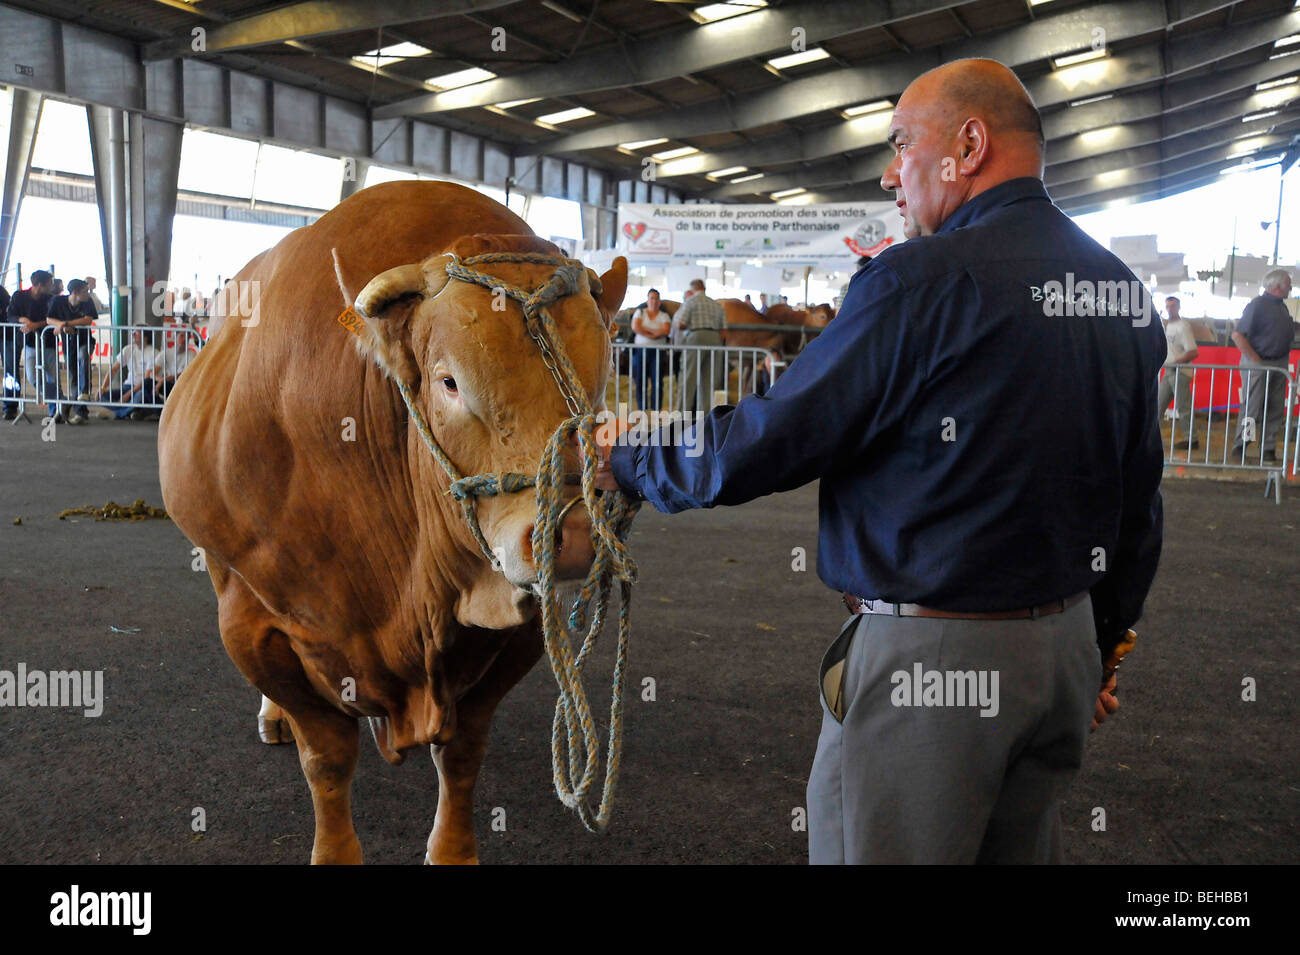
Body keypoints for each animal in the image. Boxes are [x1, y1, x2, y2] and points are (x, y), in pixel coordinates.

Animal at [158, 180, 628, 864]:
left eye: (601, 383)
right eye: (450, 382)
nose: (566, 540)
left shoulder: (519, 629)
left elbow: (462, 752)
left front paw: (452, 850)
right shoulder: (254, 624)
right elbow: (328, 757)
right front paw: (334, 851)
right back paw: (273, 717)